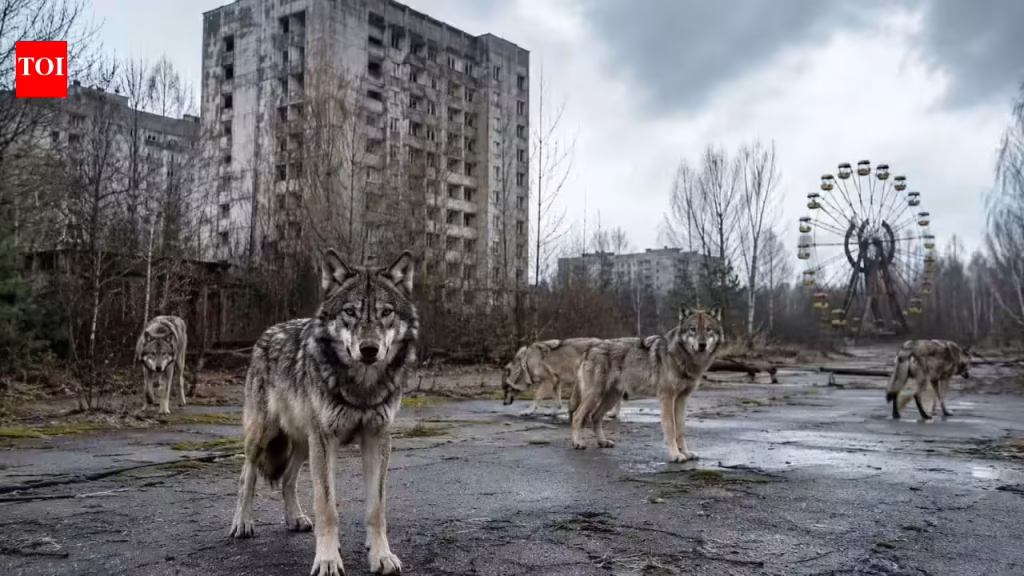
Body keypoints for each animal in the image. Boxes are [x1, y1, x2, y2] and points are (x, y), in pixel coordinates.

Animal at [229, 249, 417, 576]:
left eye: (386, 312)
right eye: (350, 312)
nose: (369, 349)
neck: (362, 387)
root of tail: (267, 333)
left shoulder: (377, 438)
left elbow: (376, 509)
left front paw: (380, 555)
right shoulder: (325, 439)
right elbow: (327, 508)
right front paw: (328, 560)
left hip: (305, 443)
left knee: (288, 479)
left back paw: (295, 518)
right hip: (265, 435)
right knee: (247, 474)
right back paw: (242, 522)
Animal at [502, 337, 631, 417]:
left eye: (506, 389)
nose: (503, 403)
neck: (526, 364)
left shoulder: (548, 381)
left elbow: (537, 397)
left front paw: (528, 411)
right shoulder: (556, 382)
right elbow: (557, 400)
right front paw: (553, 412)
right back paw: (613, 414)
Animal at [569, 307, 723, 462]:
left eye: (708, 329)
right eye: (693, 329)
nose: (702, 345)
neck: (681, 356)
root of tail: (589, 349)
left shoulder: (682, 399)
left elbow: (680, 428)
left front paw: (686, 452)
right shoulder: (667, 398)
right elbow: (671, 428)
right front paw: (675, 455)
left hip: (612, 398)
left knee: (595, 417)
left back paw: (602, 442)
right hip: (594, 395)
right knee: (577, 416)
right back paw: (578, 443)